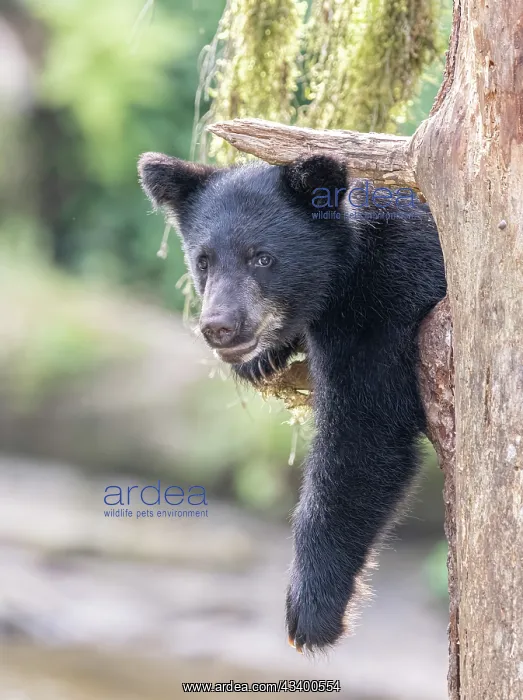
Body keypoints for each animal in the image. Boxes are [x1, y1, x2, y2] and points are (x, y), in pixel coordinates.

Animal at [138, 152, 447, 653]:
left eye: (262, 257)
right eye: (203, 260)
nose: (219, 326)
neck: (348, 269)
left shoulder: (386, 302)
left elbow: (365, 435)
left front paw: (311, 609)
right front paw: (262, 359)